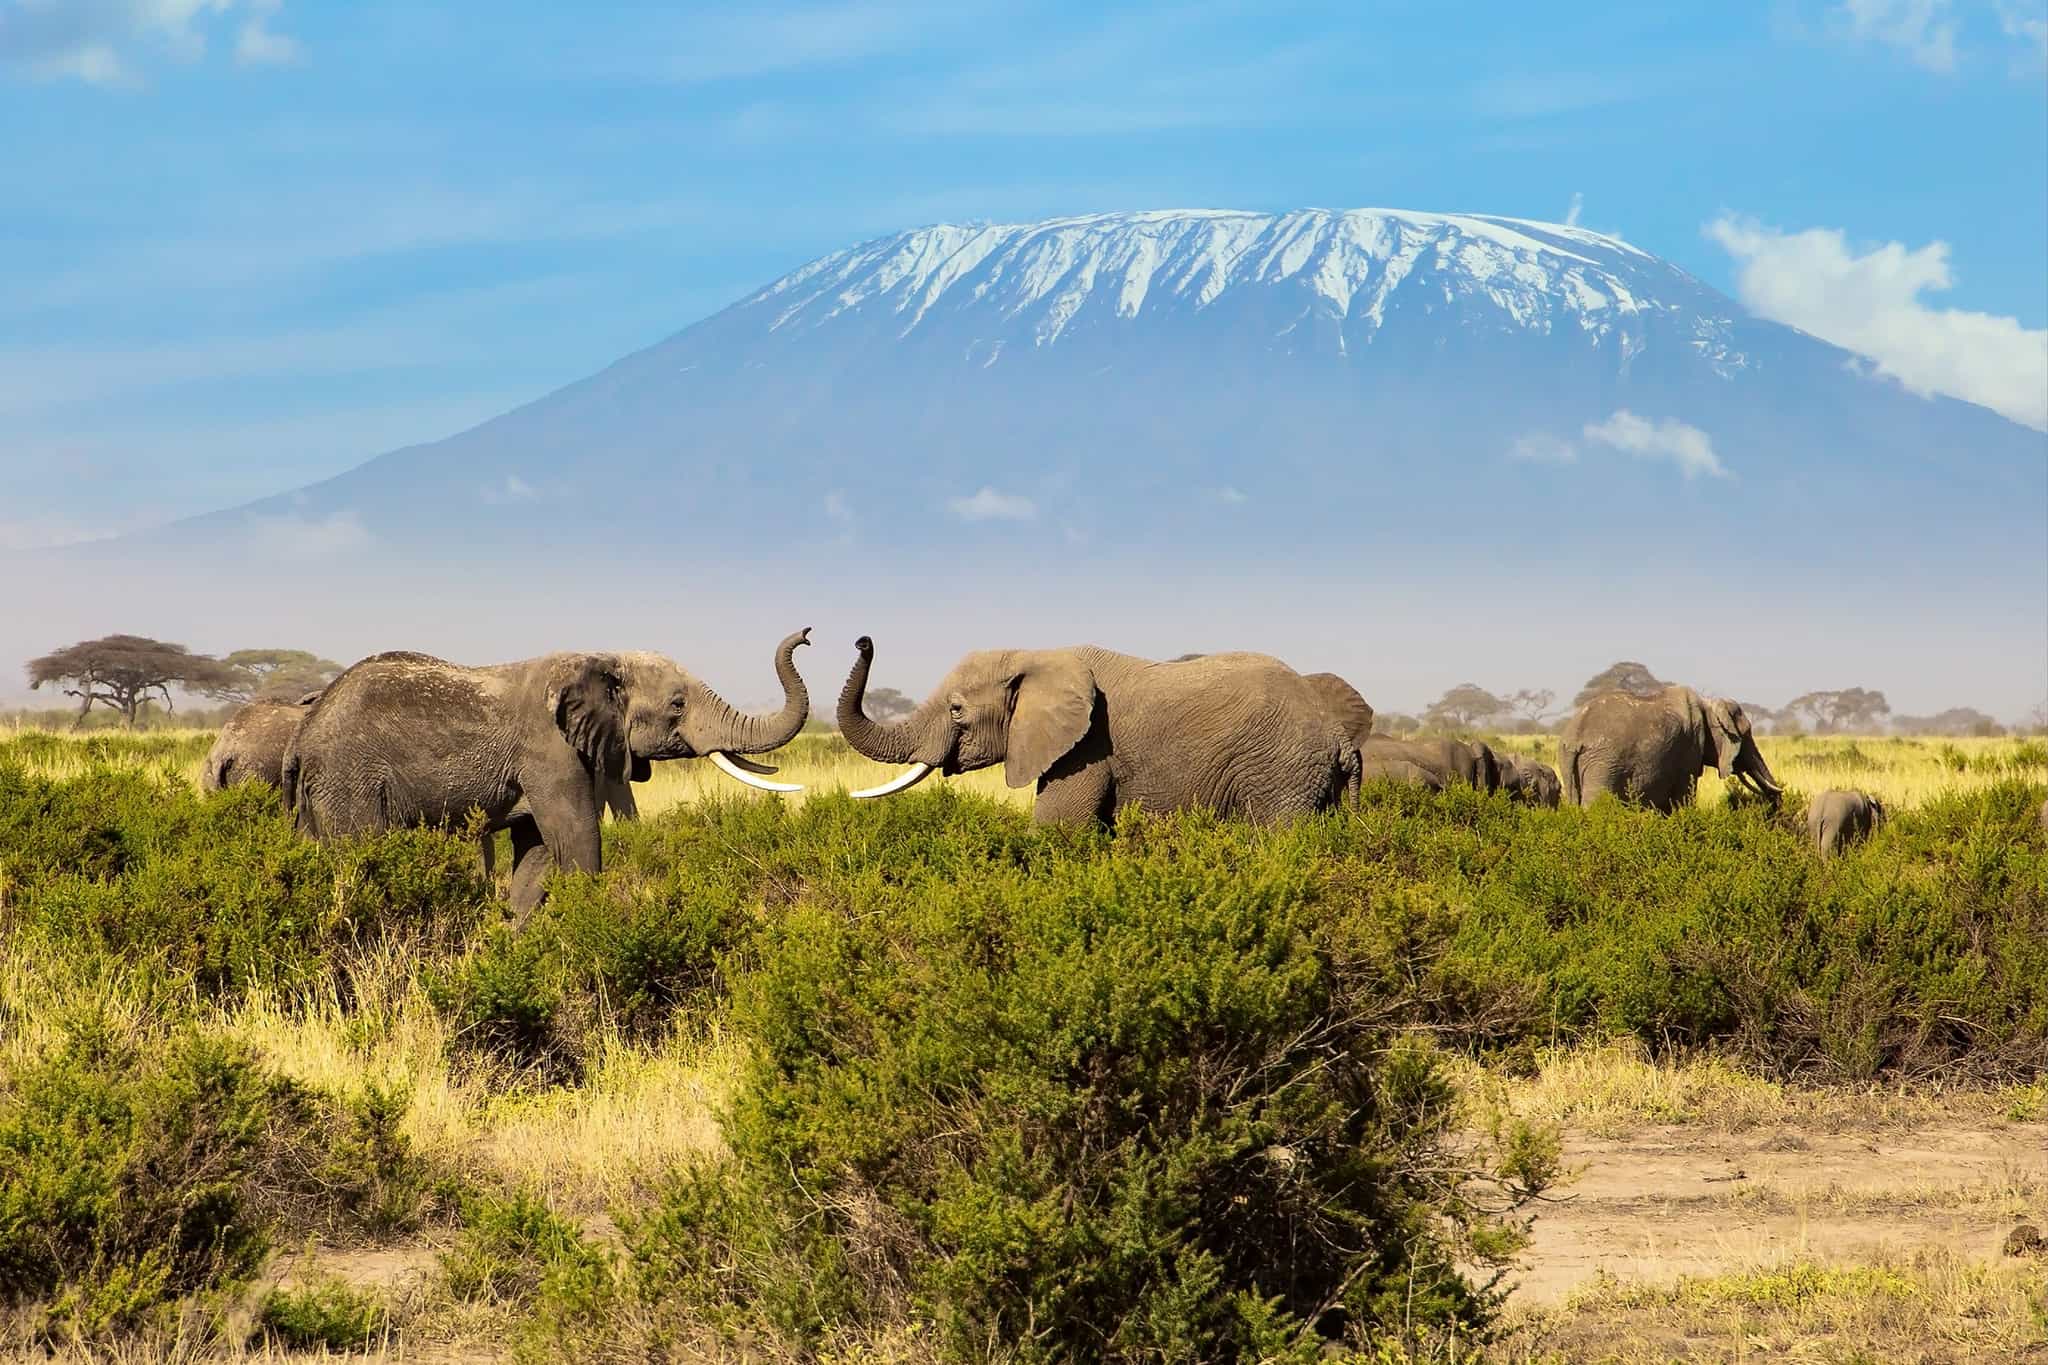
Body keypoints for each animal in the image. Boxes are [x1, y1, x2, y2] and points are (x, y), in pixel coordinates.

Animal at [283, 631, 811, 920]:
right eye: (677, 705)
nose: (806, 635)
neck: (602, 657)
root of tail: (303, 733)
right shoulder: (549, 753)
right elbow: (575, 842)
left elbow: (538, 853)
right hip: (349, 781)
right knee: (357, 854)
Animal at [835, 637, 1358, 825]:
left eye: (957, 709)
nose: (863, 640)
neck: (1037, 654)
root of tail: (1340, 740)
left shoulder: (1087, 747)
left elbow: (1056, 829)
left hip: (1281, 773)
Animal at [1558, 686, 1783, 811]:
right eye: (1746, 733)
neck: (1707, 705)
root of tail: (1575, 736)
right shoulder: (1690, 749)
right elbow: (1683, 799)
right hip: (1603, 764)